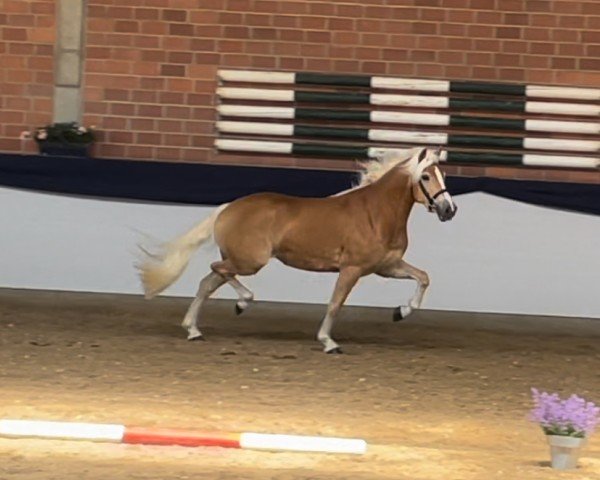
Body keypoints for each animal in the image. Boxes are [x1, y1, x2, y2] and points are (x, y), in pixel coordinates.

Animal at [138, 148, 460, 354]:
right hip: (249, 261)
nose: (449, 210)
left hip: (238, 259)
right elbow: (335, 304)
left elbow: (423, 278)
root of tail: (228, 207)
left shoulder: (387, 267)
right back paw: (241, 304)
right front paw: (329, 343)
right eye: (426, 177)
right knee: (215, 273)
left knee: (207, 282)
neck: (376, 214)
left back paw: (194, 330)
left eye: (443, 174)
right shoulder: (352, 269)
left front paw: (400, 312)